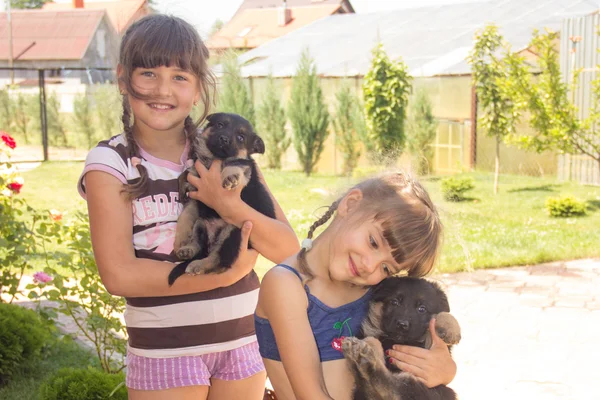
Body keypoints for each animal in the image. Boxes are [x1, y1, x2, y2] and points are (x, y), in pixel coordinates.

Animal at [169, 114, 276, 286]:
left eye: (241, 137)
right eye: (220, 125)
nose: (224, 139)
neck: (213, 159)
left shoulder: (244, 171)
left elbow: (235, 166)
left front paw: (229, 176)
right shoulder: (195, 197)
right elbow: (184, 216)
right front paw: (181, 238)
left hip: (233, 232)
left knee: (219, 261)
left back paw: (199, 265)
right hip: (201, 223)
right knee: (200, 245)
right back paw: (188, 250)